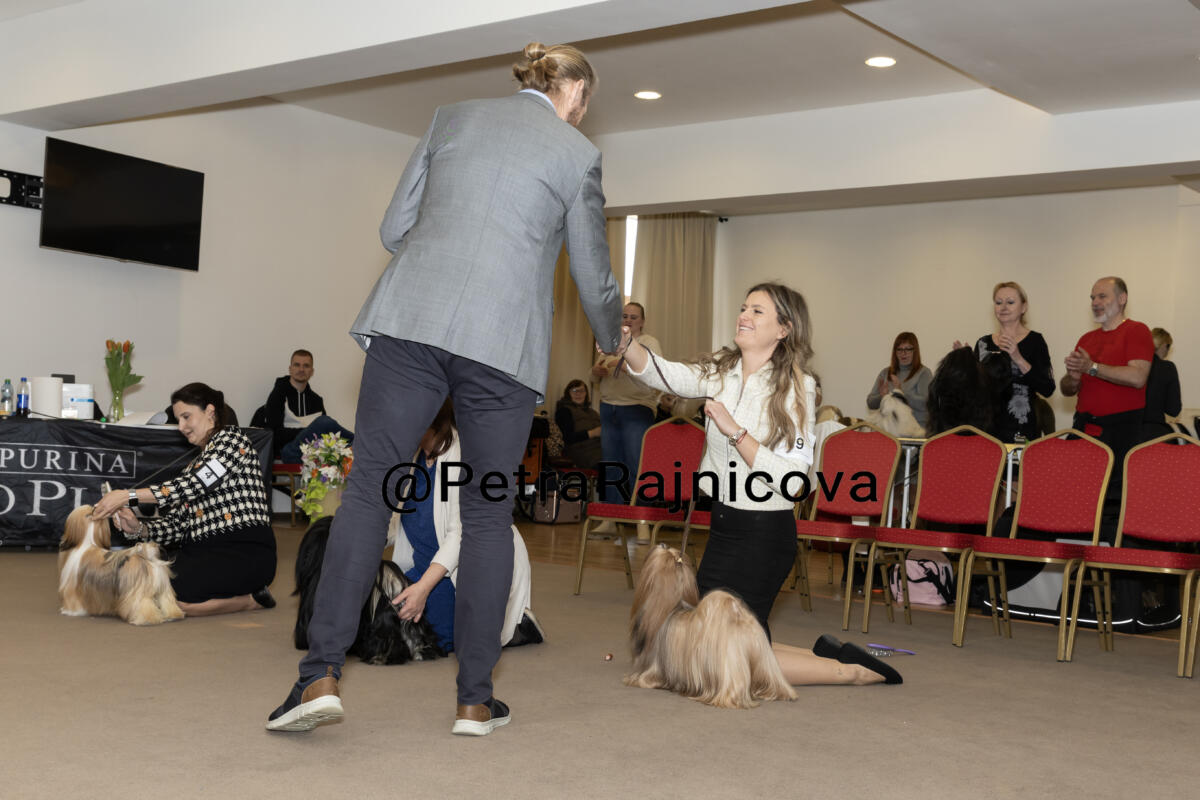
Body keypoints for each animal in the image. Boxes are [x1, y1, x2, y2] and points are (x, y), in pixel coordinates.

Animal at [624, 545, 797, 709]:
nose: (662, 544)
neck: (674, 604)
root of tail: (737, 616)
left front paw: (633, 680)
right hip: (765, 659)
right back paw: (782, 693)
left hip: (730, 664)